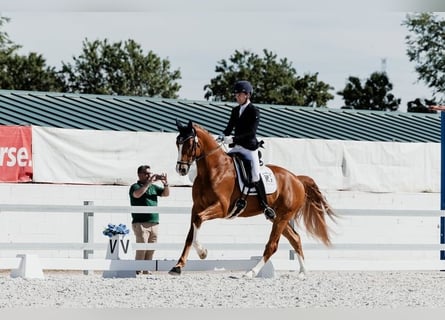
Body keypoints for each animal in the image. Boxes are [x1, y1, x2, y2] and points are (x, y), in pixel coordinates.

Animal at [168, 120, 334, 278]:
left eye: (190, 144)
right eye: (177, 143)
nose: (181, 169)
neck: (214, 170)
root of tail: (297, 179)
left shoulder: (222, 208)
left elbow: (198, 220)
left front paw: (203, 252)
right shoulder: (196, 206)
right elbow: (190, 234)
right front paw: (178, 266)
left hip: (283, 217)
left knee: (272, 245)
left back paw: (251, 272)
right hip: (277, 217)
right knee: (295, 239)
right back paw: (303, 272)